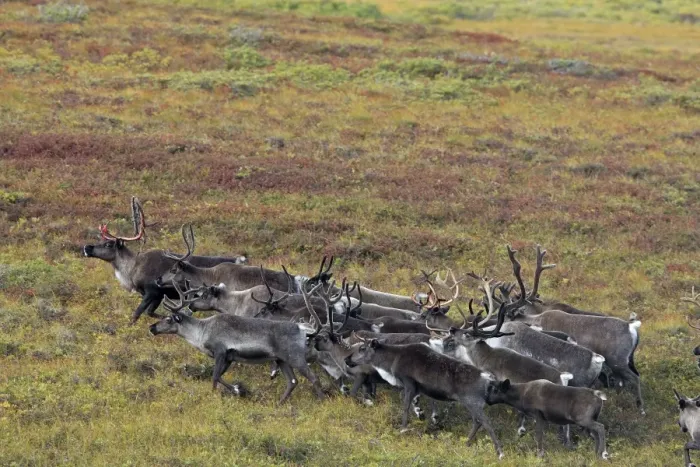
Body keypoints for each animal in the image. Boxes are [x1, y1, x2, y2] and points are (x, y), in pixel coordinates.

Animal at [82, 197, 247, 323]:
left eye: (108, 244)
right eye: (102, 240)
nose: (86, 247)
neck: (131, 269)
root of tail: (241, 260)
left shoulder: (152, 292)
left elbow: (136, 314)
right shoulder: (157, 295)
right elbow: (150, 313)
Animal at [150, 279, 327, 403]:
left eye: (168, 319)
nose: (152, 327)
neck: (202, 331)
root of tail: (303, 330)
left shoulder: (221, 351)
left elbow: (215, 376)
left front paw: (232, 391)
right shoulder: (229, 357)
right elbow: (219, 376)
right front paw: (234, 390)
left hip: (296, 358)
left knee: (313, 378)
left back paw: (321, 400)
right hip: (282, 360)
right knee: (292, 381)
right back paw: (279, 403)